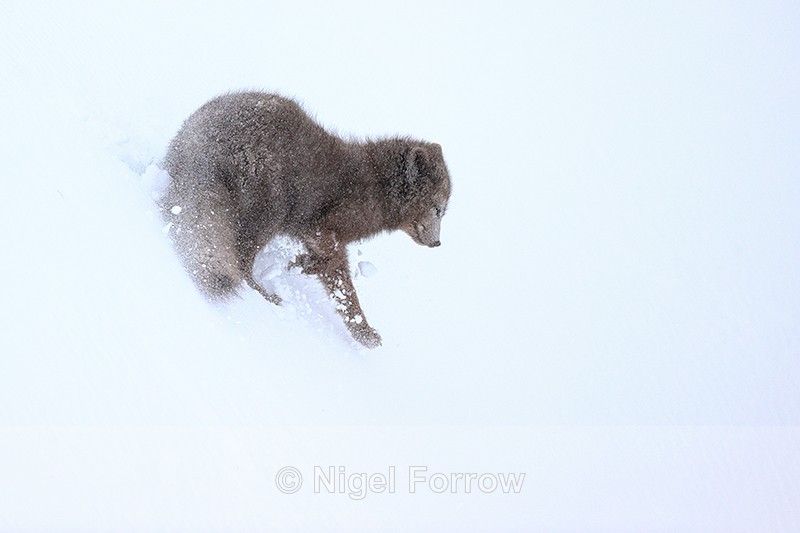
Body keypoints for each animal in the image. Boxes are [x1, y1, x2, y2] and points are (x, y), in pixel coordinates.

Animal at [160, 91, 451, 348]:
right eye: (437, 208)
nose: (437, 243)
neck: (376, 190)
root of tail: (205, 138)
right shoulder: (321, 228)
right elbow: (341, 282)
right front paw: (364, 332)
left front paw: (302, 264)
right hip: (269, 210)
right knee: (241, 261)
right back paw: (266, 295)